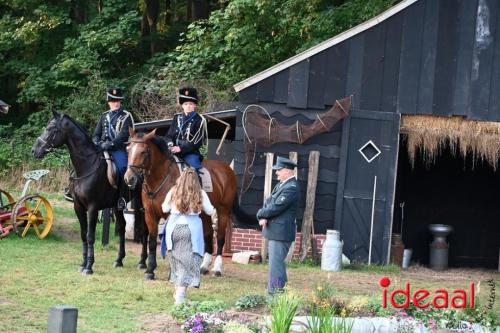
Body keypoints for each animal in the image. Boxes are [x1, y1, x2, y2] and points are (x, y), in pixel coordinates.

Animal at [31, 110, 146, 274]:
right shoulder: (78, 207)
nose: (34, 150)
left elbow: (90, 236)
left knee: (145, 230)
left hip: (142, 204)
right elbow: (83, 235)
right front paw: (83, 263)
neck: (87, 166)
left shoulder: (92, 208)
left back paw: (142, 262)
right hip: (117, 206)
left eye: (51, 128)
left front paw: (89, 266)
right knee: (123, 227)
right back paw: (119, 260)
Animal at [122, 128, 236, 278]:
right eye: (128, 149)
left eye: (143, 151)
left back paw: (217, 269)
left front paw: (173, 272)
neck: (160, 178)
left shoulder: (172, 215)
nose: (129, 178)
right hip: (205, 213)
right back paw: (203, 267)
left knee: (221, 238)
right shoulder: (149, 215)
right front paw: (150, 270)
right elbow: (151, 241)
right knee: (209, 234)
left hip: (223, 211)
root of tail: (227, 169)